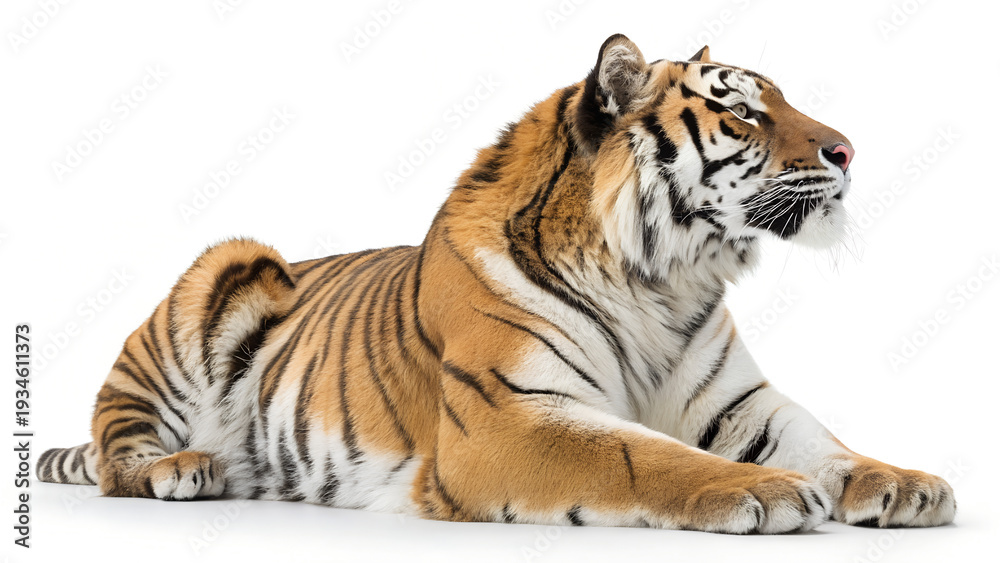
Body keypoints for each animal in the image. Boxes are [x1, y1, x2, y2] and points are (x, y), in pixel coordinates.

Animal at [38, 34, 955, 533]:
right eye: (741, 112)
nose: (848, 151)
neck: (662, 283)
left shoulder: (738, 402)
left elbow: (823, 441)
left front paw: (905, 482)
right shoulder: (505, 419)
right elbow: (642, 454)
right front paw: (766, 490)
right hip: (226, 265)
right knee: (118, 453)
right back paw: (186, 467)